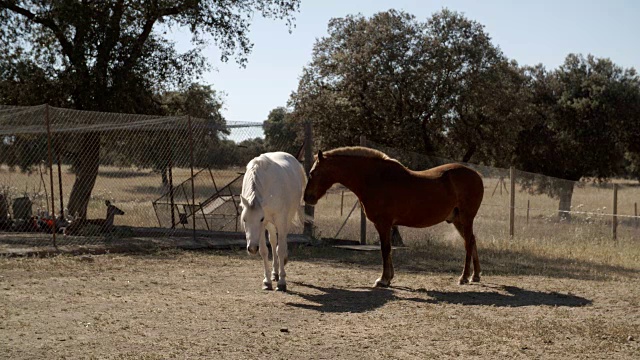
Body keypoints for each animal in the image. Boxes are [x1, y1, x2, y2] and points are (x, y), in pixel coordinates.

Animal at [241, 150, 308, 292]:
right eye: (244, 219)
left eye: (260, 218)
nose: (252, 248)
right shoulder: (264, 225)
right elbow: (264, 250)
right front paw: (267, 281)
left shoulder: (278, 221)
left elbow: (280, 249)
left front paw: (282, 282)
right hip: (270, 225)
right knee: (273, 241)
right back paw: (274, 273)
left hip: (286, 219)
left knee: (281, 242)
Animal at [302, 146, 482, 286]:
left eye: (312, 173)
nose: (307, 198)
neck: (375, 178)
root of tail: (476, 175)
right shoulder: (388, 225)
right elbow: (387, 250)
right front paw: (389, 278)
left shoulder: (383, 223)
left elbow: (385, 249)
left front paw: (383, 279)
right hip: (458, 220)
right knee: (472, 241)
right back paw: (475, 275)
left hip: (466, 219)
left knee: (468, 244)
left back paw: (464, 277)